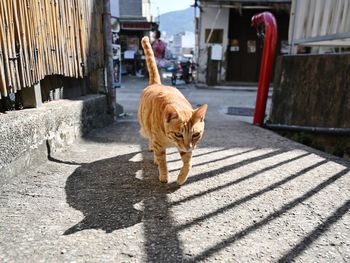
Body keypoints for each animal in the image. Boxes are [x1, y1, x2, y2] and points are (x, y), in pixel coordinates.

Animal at [137, 36, 208, 186]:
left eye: (195, 134)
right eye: (178, 134)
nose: (188, 146)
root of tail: (156, 84)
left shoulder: (186, 150)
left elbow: (188, 164)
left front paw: (181, 178)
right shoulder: (159, 144)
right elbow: (163, 162)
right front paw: (164, 176)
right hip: (146, 127)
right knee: (151, 141)